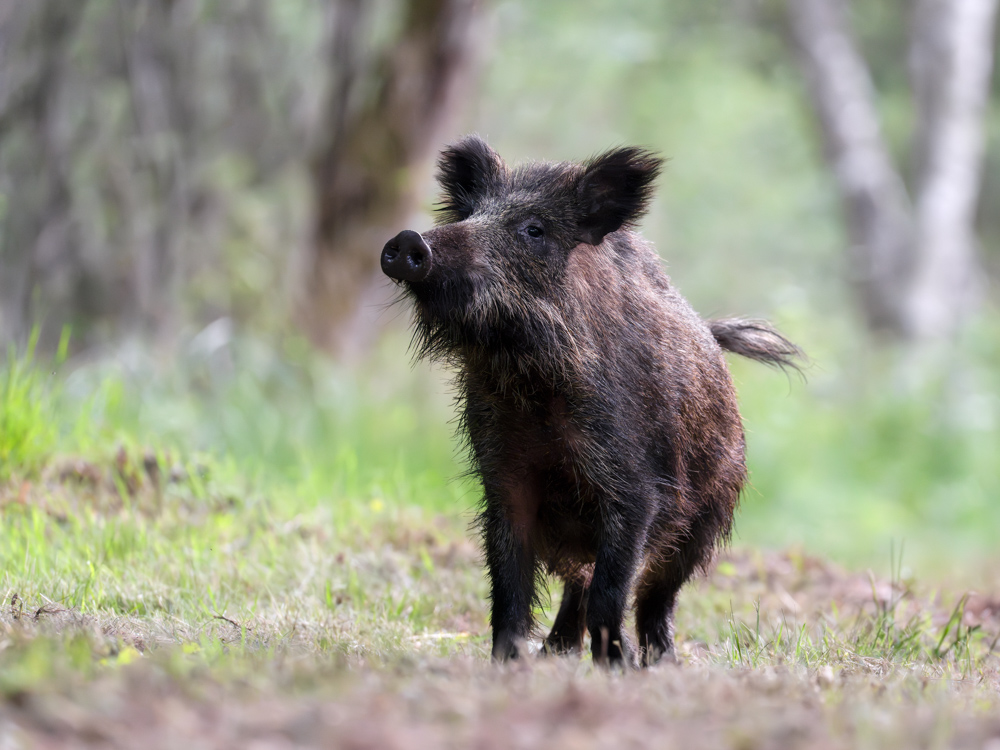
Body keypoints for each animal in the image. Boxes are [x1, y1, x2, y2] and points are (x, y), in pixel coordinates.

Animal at [380, 135, 800, 667]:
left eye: (534, 229)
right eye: (470, 213)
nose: (409, 240)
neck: (531, 387)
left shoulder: (636, 488)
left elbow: (611, 590)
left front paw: (617, 667)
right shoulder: (504, 476)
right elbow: (509, 587)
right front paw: (507, 663)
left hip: (709, 513)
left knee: (655, 595)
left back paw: (659, 661)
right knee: (577, 585)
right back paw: (554, 652)